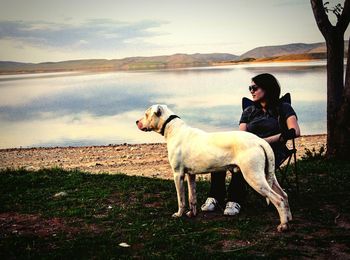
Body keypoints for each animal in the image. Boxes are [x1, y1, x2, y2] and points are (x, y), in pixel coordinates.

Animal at [137, 104, 292, 231]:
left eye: (146, 114)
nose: (136, 122)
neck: (172, 128)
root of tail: (259, 140)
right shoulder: (190, 175)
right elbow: (192, 197)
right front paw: (192, 214)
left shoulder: (178, 174)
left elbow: (181, 199)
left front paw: (179, 214)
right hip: (267, 175)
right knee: (284, 195)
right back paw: (289, 218)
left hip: (254, 177)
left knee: (278, 199)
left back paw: (283, 225)